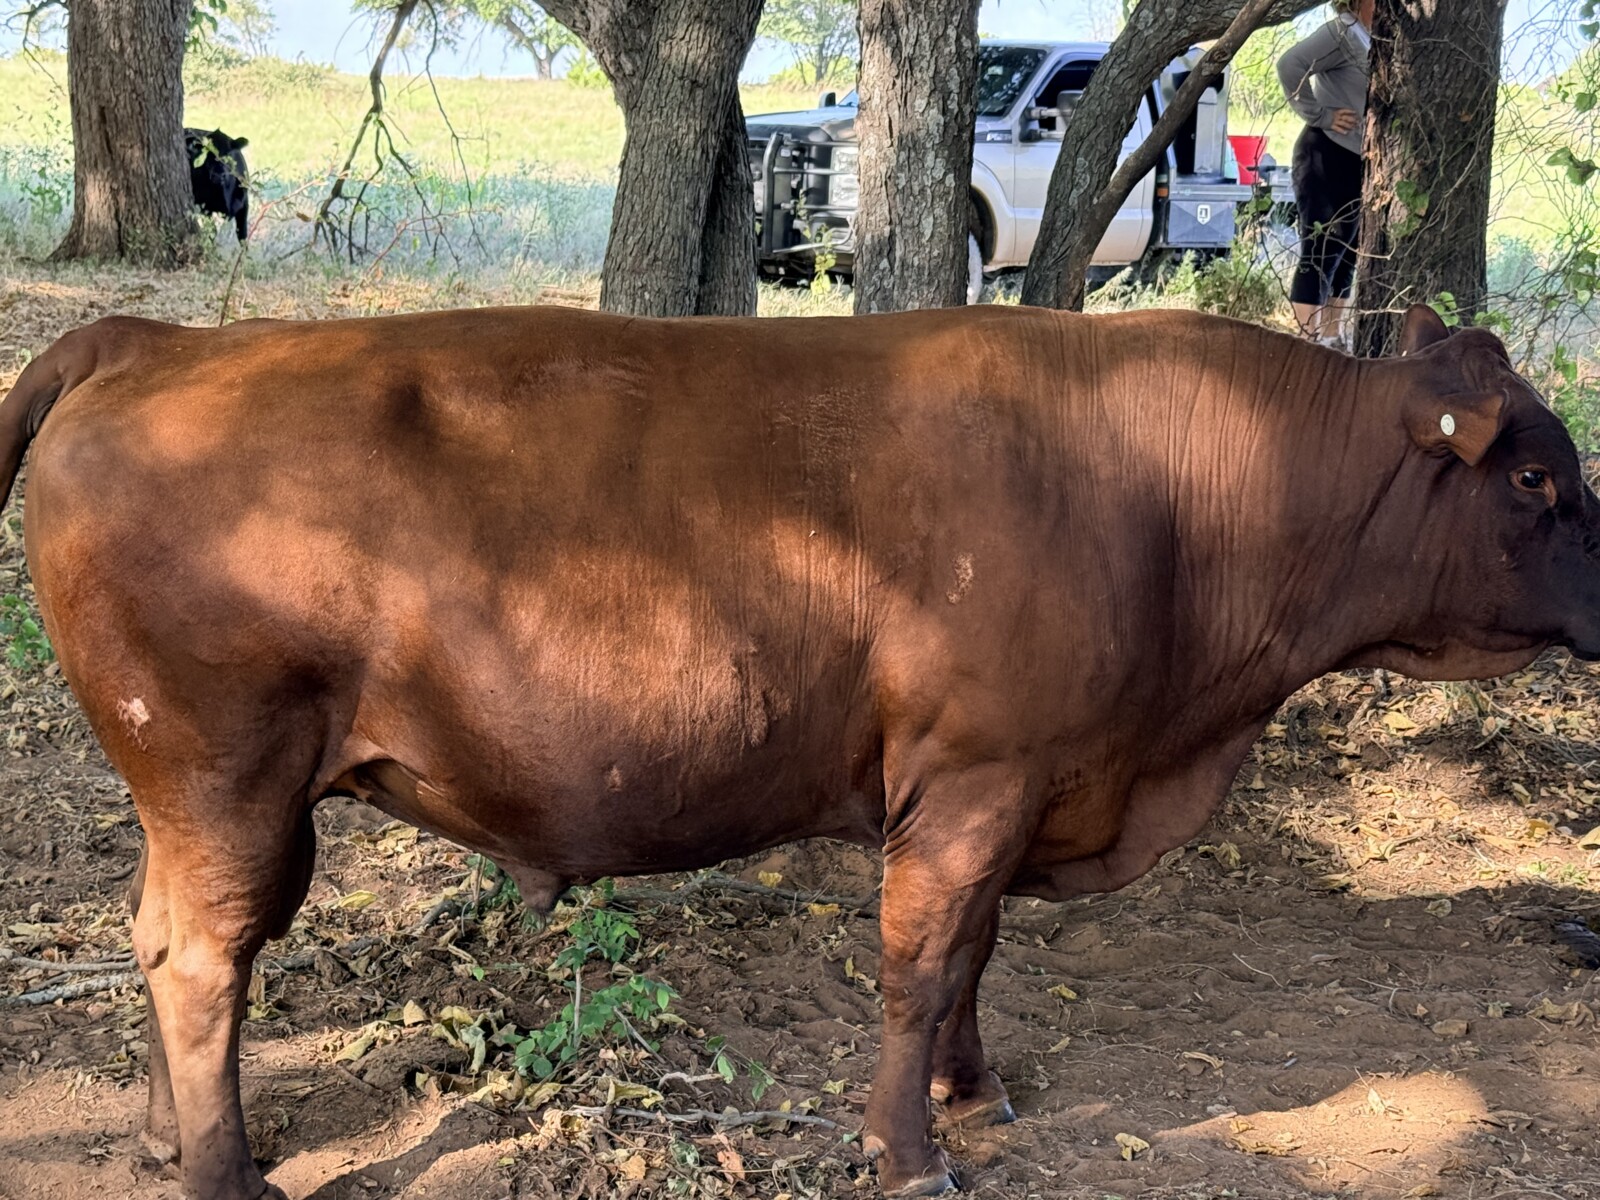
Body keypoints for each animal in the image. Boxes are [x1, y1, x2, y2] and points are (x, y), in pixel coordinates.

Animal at [0, 302, 1595, 1199]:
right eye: (1534, 477)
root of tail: (157, 343)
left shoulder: (1011, 785)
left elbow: (974, 957)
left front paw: (971, 1090)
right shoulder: (975, 777)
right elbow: (921, 960)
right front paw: (911, 1153)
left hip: (202, 795)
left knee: (161, 937)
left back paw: (160, 1141)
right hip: (228, 774)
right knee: (204, 954)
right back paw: (221, 1173)